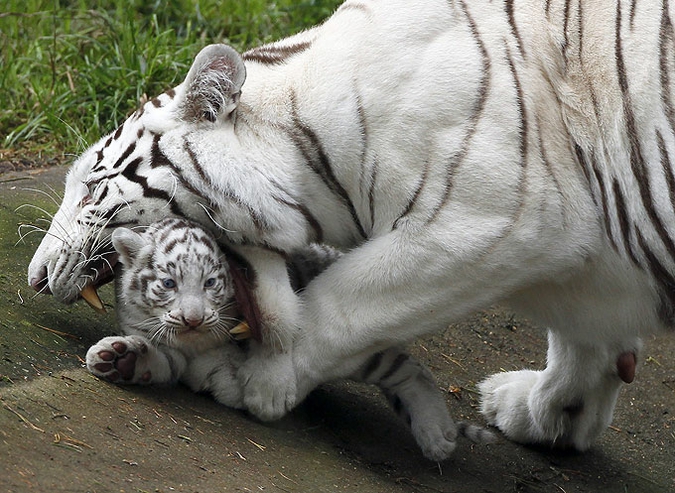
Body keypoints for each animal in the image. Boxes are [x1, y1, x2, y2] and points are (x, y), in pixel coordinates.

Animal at [26, 0, 675, 452]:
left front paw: (254, 381)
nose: (34, 277)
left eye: (92, 183)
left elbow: (343, 306)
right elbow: (584, 336)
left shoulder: (498, 217)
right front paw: (547, 414)